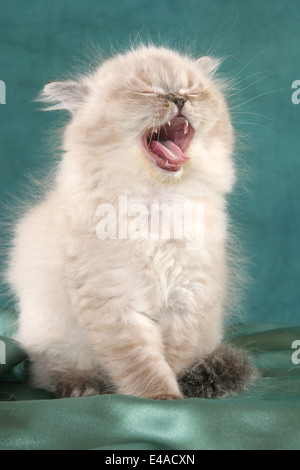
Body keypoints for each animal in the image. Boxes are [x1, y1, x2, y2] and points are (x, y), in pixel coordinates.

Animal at [6, 45, 255, 400]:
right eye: (147, 91)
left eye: (192, 90)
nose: (178, 98)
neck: (159, 202)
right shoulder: (115, 298)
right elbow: (143, 364)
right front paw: (164, 399)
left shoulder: (187, 294)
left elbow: (172, 356)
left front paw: (180, 393)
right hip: (52, 336)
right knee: (48, 371)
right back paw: (82, 386)